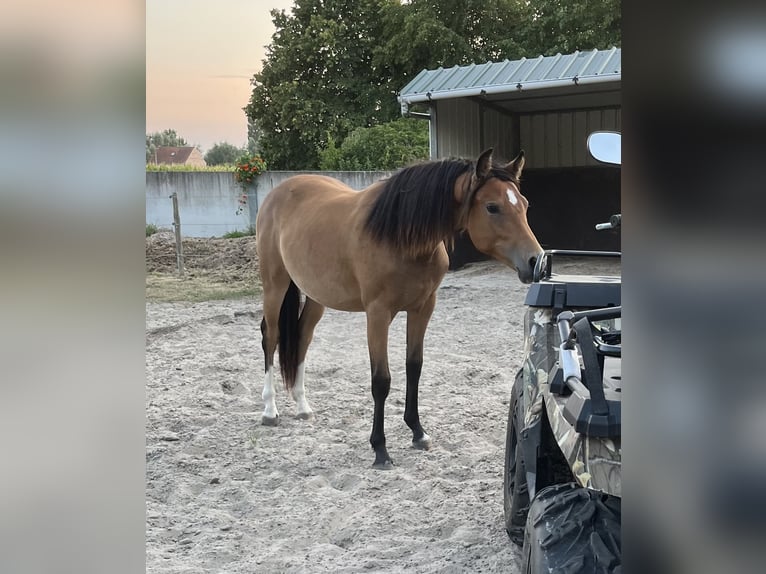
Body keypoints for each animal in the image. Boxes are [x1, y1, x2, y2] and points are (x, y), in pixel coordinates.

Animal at [255, 148, 543, 469]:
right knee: (271, 336)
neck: (400, 235)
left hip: (316, 295)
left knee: (302, 337)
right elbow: (381, 380)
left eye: (525, 204)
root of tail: (279, 192)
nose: (537, 261)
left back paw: (303, 406)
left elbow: (414, 367)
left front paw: (418, 432)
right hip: (275, 285)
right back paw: (270, 410)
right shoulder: (377, 314)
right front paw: (380, 449)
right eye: (493, 207)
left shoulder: (423, 308)